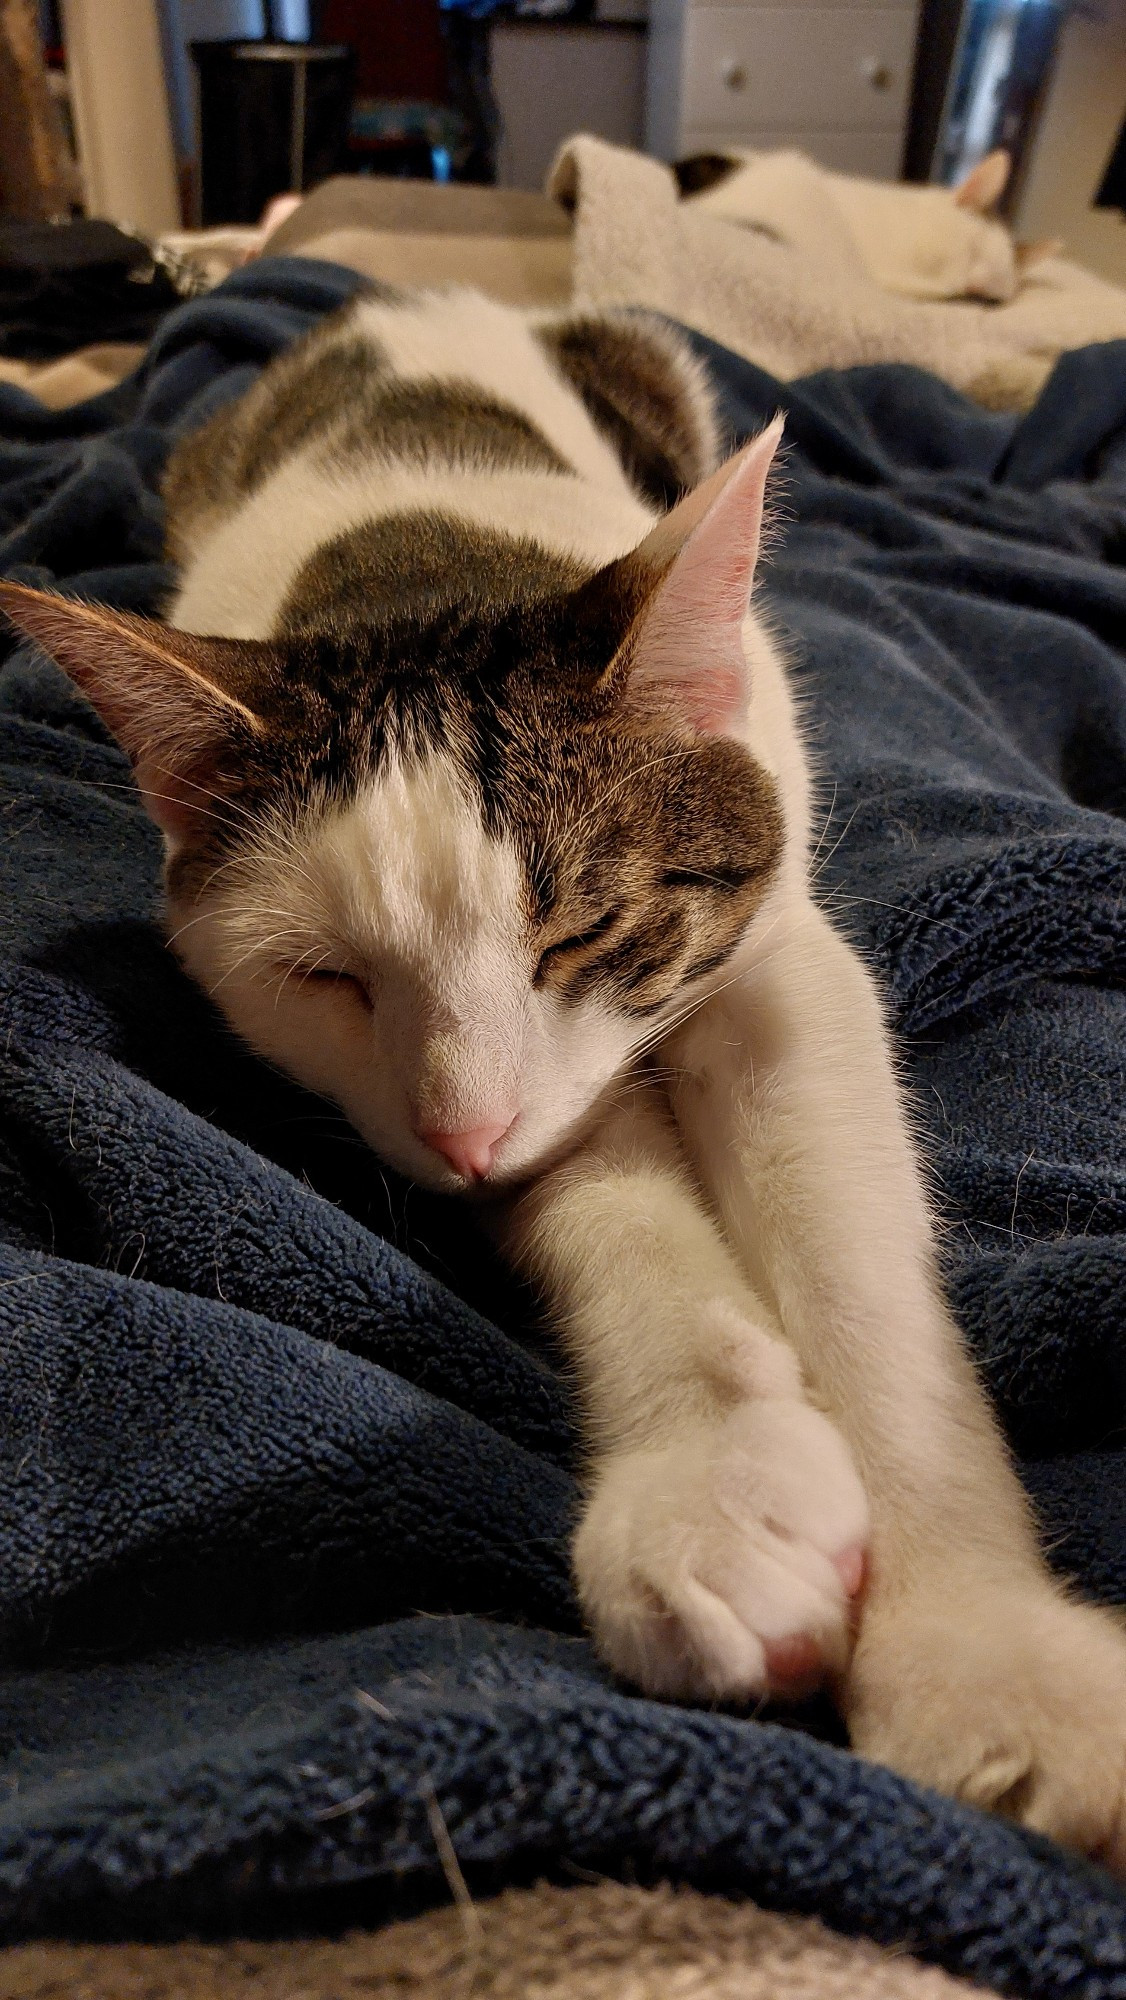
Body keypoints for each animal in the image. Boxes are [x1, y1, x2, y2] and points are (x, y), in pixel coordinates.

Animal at [2, 286, 1126, 1872]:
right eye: (326, 980)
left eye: (582, 935)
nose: (464, 1133)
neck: (421, 572)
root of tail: (393, 301)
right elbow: (601, 1196)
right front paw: (711, 1488)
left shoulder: (768, 959)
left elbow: (856, 1264)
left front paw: (983, 1655)